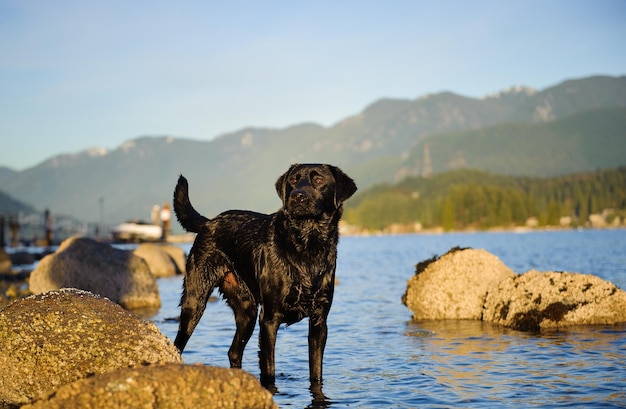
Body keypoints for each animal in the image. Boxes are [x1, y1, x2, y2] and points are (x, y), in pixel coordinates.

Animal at [173, 163, 354, 386]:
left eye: (319, 180)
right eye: (293, 180)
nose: (297, 196)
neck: (307, 245)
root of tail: (209, 222)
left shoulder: (320, 320)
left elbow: (316, 372)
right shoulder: (269, 319)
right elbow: (269, 370)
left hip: (247, 311)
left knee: (234, 351)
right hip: (195, 301)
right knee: (178, 344)